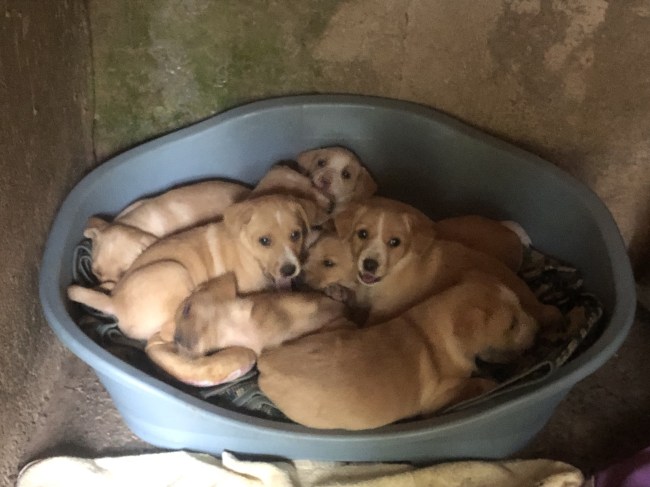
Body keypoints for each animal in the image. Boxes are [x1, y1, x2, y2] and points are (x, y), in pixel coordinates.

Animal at [68, 194, 316, 341]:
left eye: (296, 235)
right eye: (264, 241)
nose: (289, 270)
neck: (247, 251)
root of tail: (114, 304)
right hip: (175, 272)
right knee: (168, 332)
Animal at [257, 275, 540, 430]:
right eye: (512, 325)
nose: (537, 330)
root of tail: (267, 362)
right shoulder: (441, 398)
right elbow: (477, 383)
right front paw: (493, 380)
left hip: (335, 326)